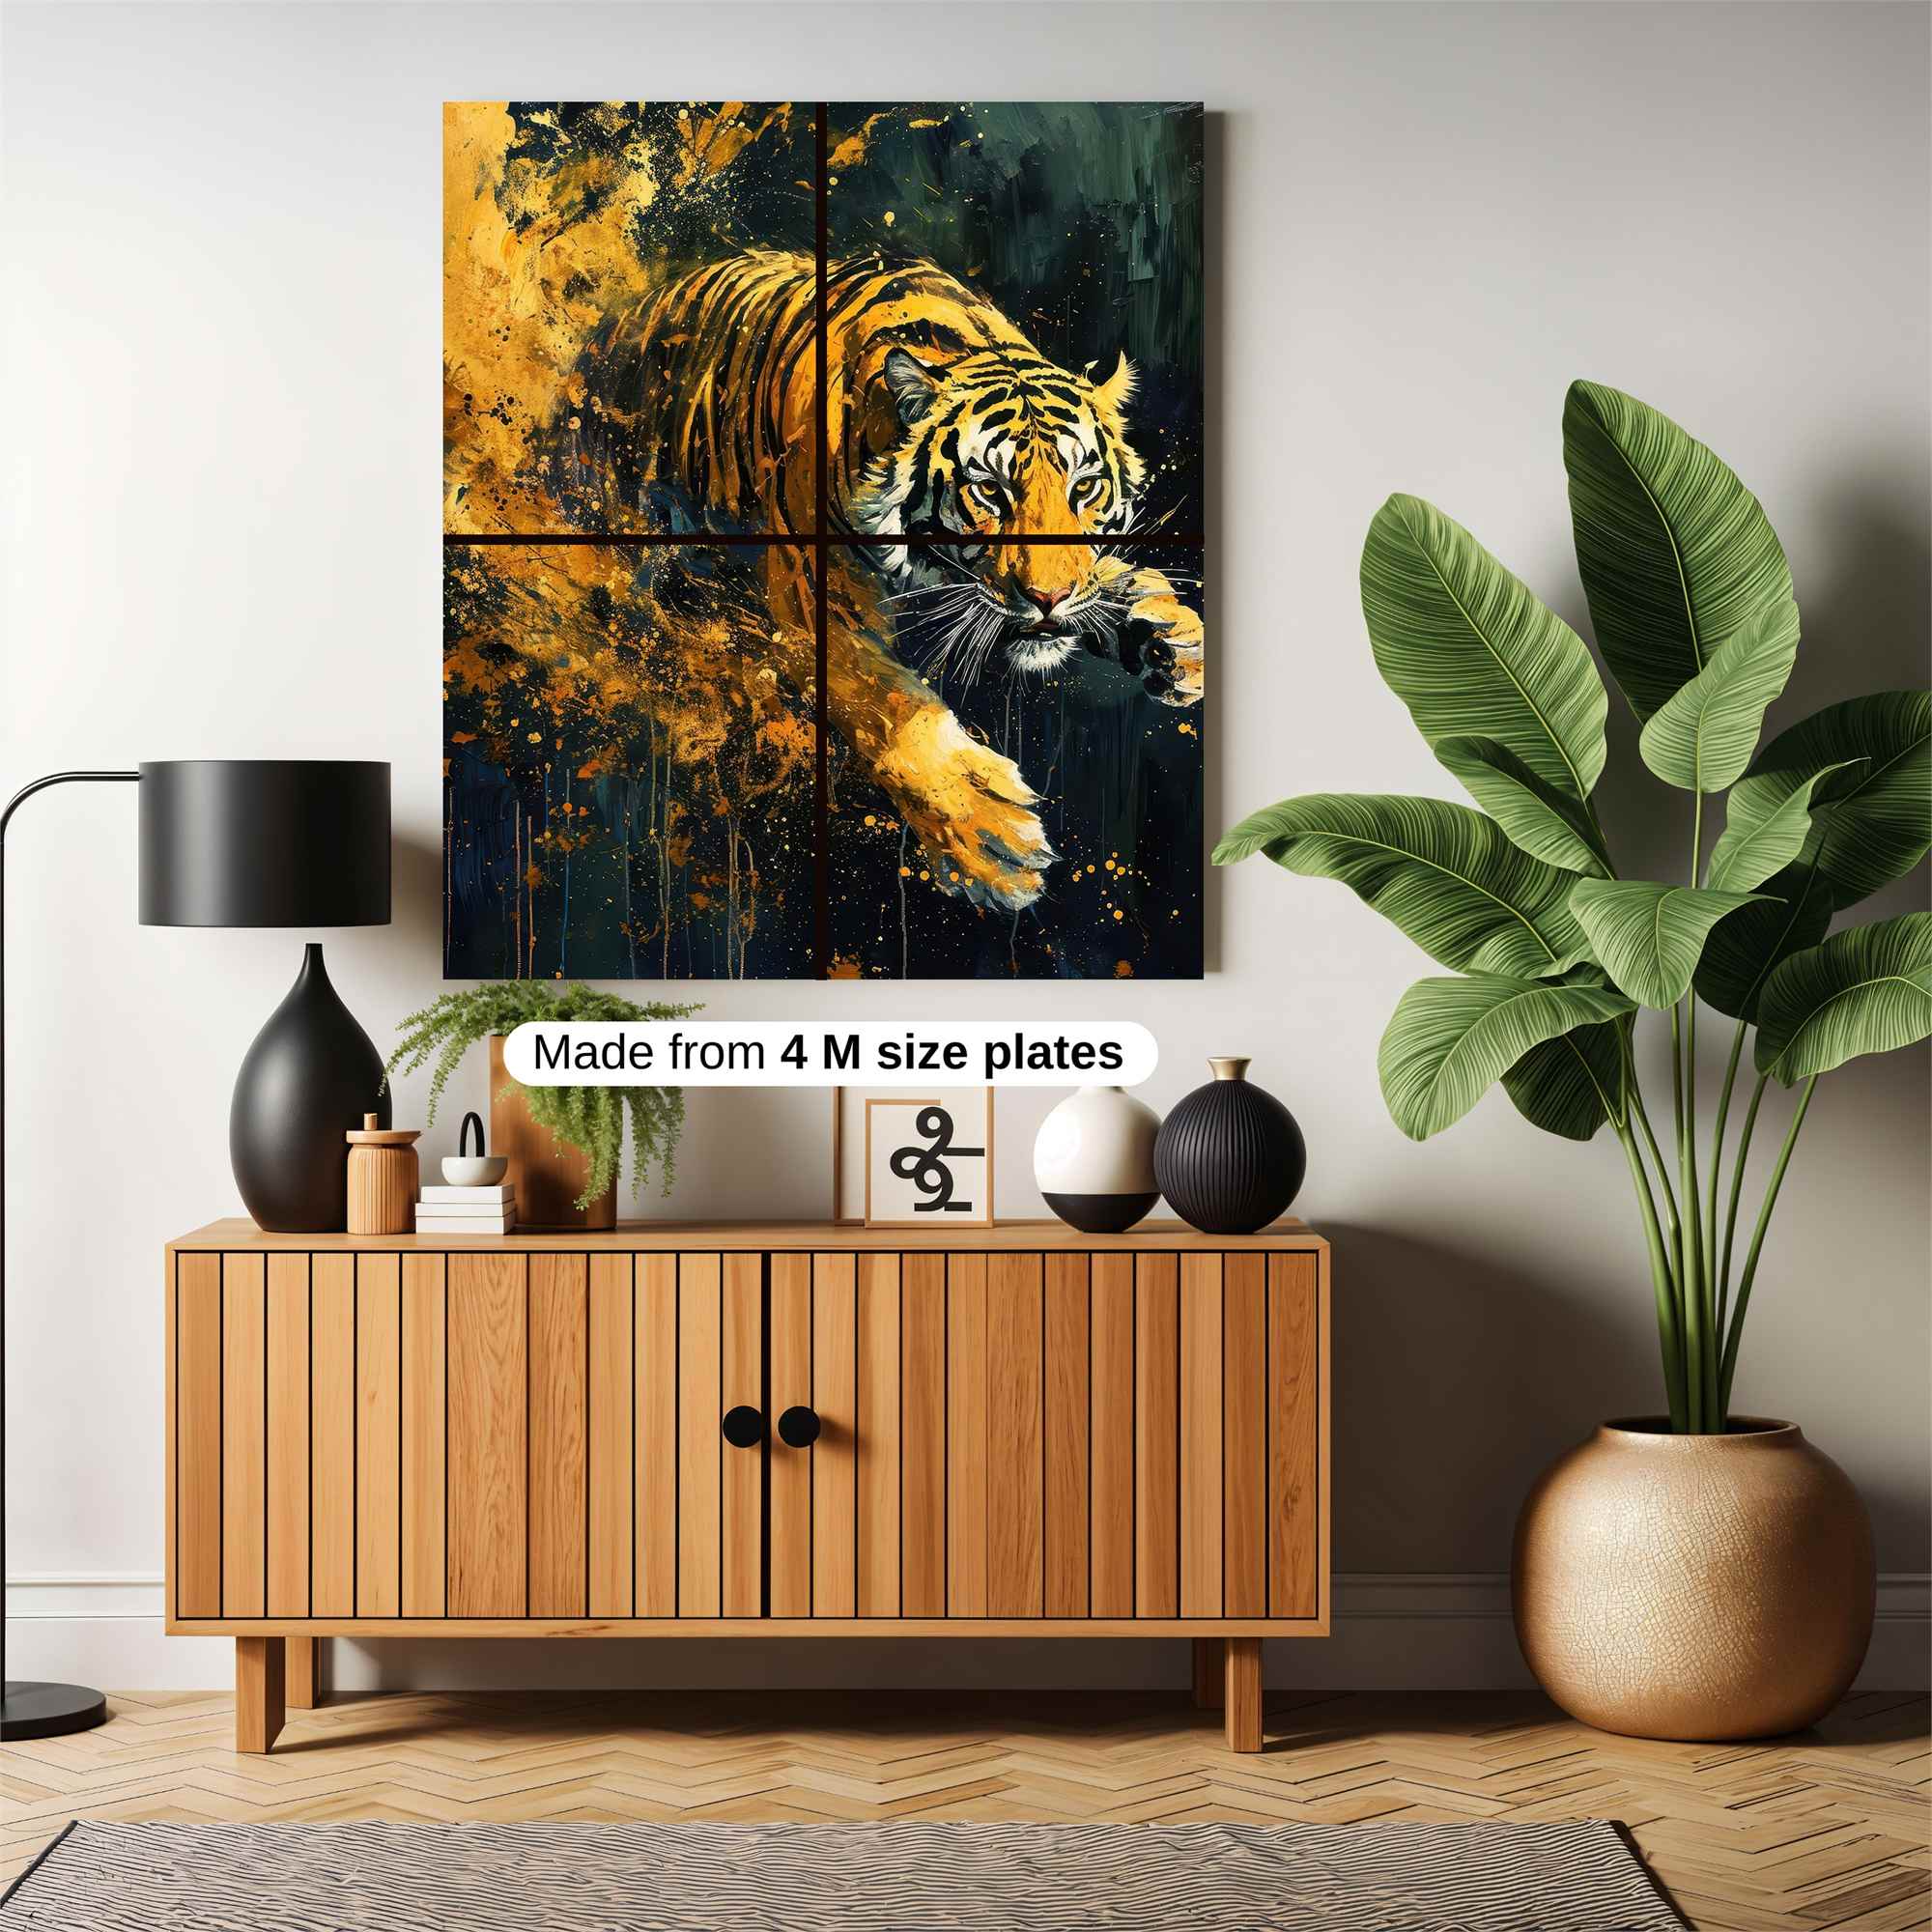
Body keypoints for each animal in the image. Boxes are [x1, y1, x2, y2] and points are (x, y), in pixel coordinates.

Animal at [583, 249, 1204, 913]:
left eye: (1083, 488)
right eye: (991, 489)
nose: (1048, 598)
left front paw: (1171, 634)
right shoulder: (811, 599)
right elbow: (888, 701)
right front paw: (988, 834)